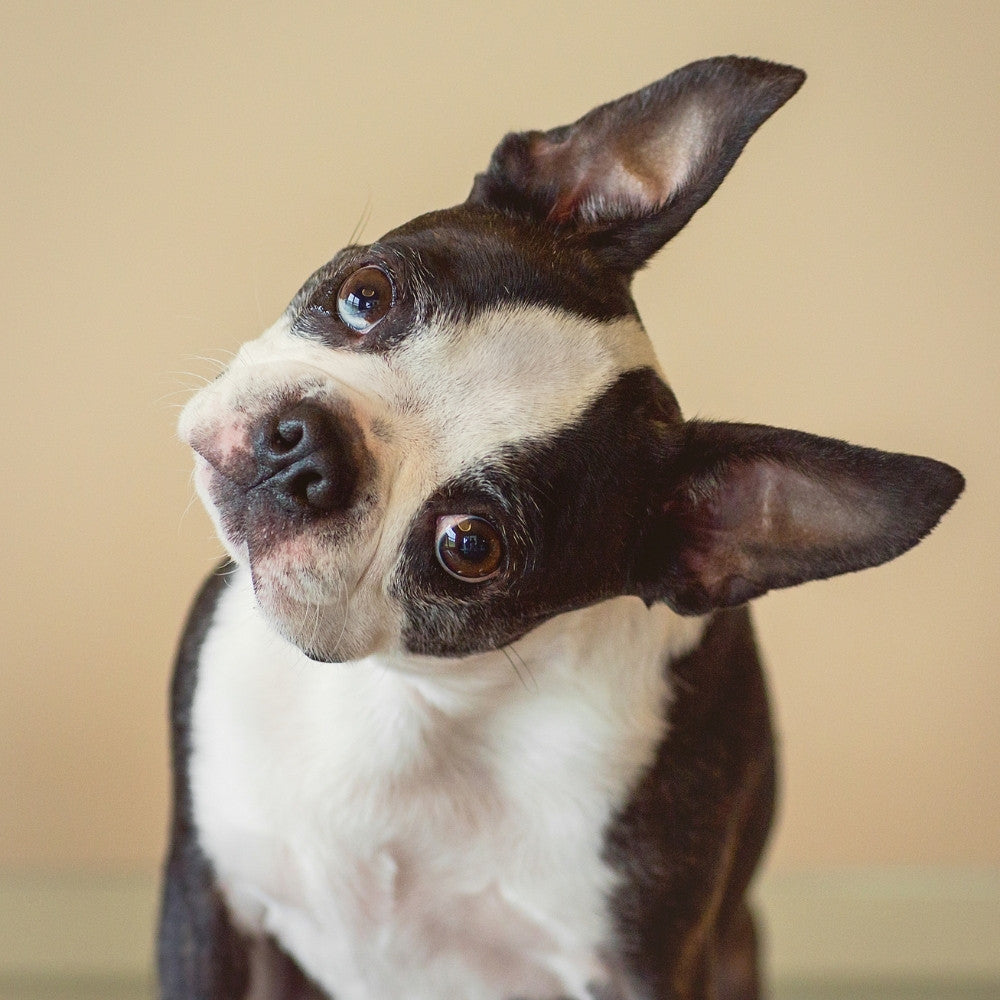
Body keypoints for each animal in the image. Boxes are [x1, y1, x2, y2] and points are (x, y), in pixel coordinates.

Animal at [162, 56, 960, 1000]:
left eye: (470, 547)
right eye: (364, 294)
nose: (306, 451)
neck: (418, 703)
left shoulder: (645, 966)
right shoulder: (209, 900)